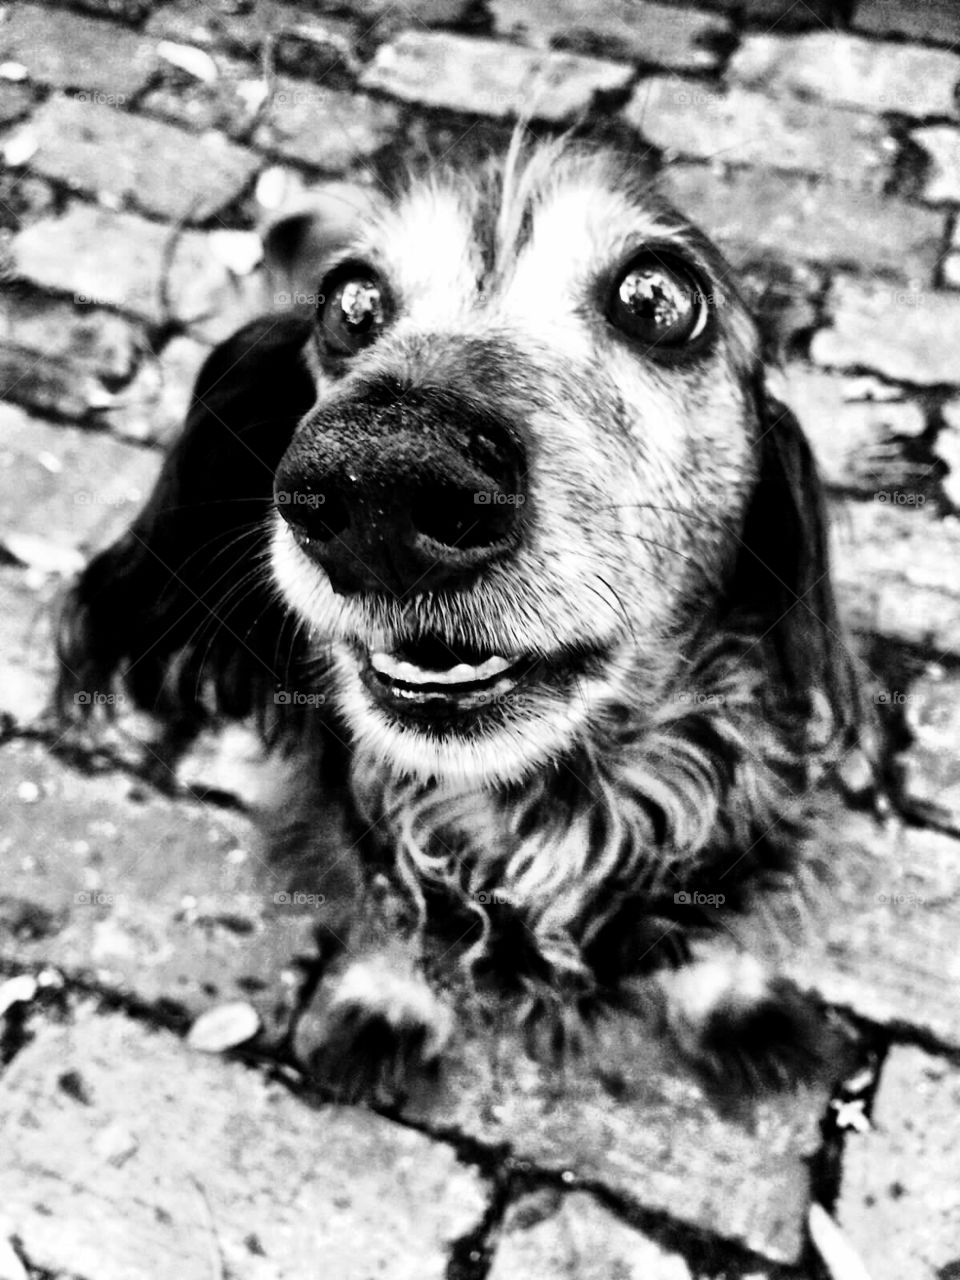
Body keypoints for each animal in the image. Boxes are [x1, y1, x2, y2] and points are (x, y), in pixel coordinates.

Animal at [54, 137, 865, 1100]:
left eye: (659, 300)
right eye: (351, 303)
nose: (380, 481)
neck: (536, 807)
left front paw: (736, 998)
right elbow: (385, 905)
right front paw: (386, 997)